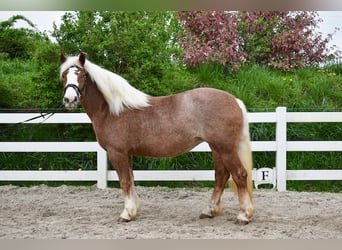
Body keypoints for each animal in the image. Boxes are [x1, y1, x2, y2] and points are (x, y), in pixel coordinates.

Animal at [59, 51, 254, 224]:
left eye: (81, 74)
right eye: (64, 75)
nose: (69, 99)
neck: (111, 111)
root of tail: (235, 101)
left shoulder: (117, 153)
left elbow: (124, 181)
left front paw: (126, 214)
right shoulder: (127, 154)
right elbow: (131, 180)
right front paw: (133, 210)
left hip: (225, 148)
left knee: (239, 174)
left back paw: (244, 215)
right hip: (216, 148)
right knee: (221, 176)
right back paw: (209, 211)